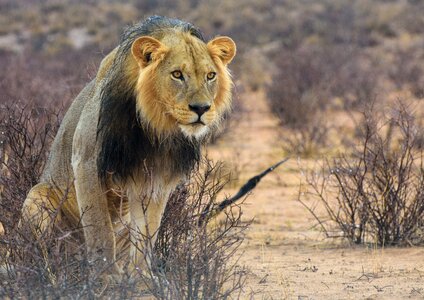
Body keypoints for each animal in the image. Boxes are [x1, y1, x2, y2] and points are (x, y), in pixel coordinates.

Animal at [19, 16, 237, 282]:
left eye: (210, 75)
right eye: (177, 74)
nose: (201, 108)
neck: (154, 126)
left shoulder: (157, 178)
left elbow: (148, 232)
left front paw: (143, 280)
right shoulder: (86, 162)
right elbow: (100, 229)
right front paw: (106, 279)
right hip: (38, 196)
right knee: (37, 252)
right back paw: (48, 273)